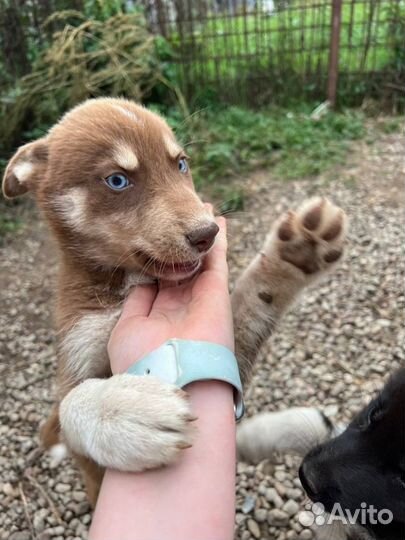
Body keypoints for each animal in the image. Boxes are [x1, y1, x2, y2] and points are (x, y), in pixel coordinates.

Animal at [2, 98, 348, 506]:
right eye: (117, 180)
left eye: (181, 164)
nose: (207, 233)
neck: (126, 280)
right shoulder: (76, 357)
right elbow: (72, 404)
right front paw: (125, 410)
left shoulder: (228, 352)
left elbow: (250, 302)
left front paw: (292, 258)